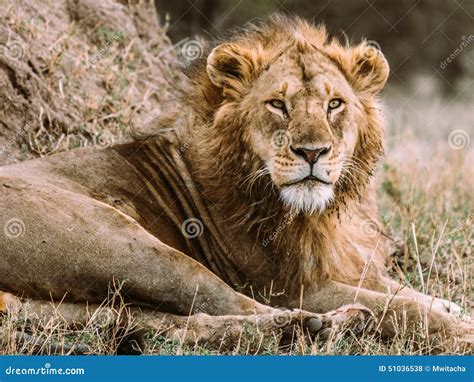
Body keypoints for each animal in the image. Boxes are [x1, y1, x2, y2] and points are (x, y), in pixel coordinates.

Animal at [0, 15, 472, 352]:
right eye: (277, 104)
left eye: (335, 104)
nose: (313, 152)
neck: (321, 211)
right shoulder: (293, 284)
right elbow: (401, 306)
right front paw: (457, 329)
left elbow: (401, 290)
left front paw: (450, 305)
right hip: (123, 242)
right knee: (223, 301)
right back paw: (321, 324)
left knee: (166, 323)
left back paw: (311, 329)